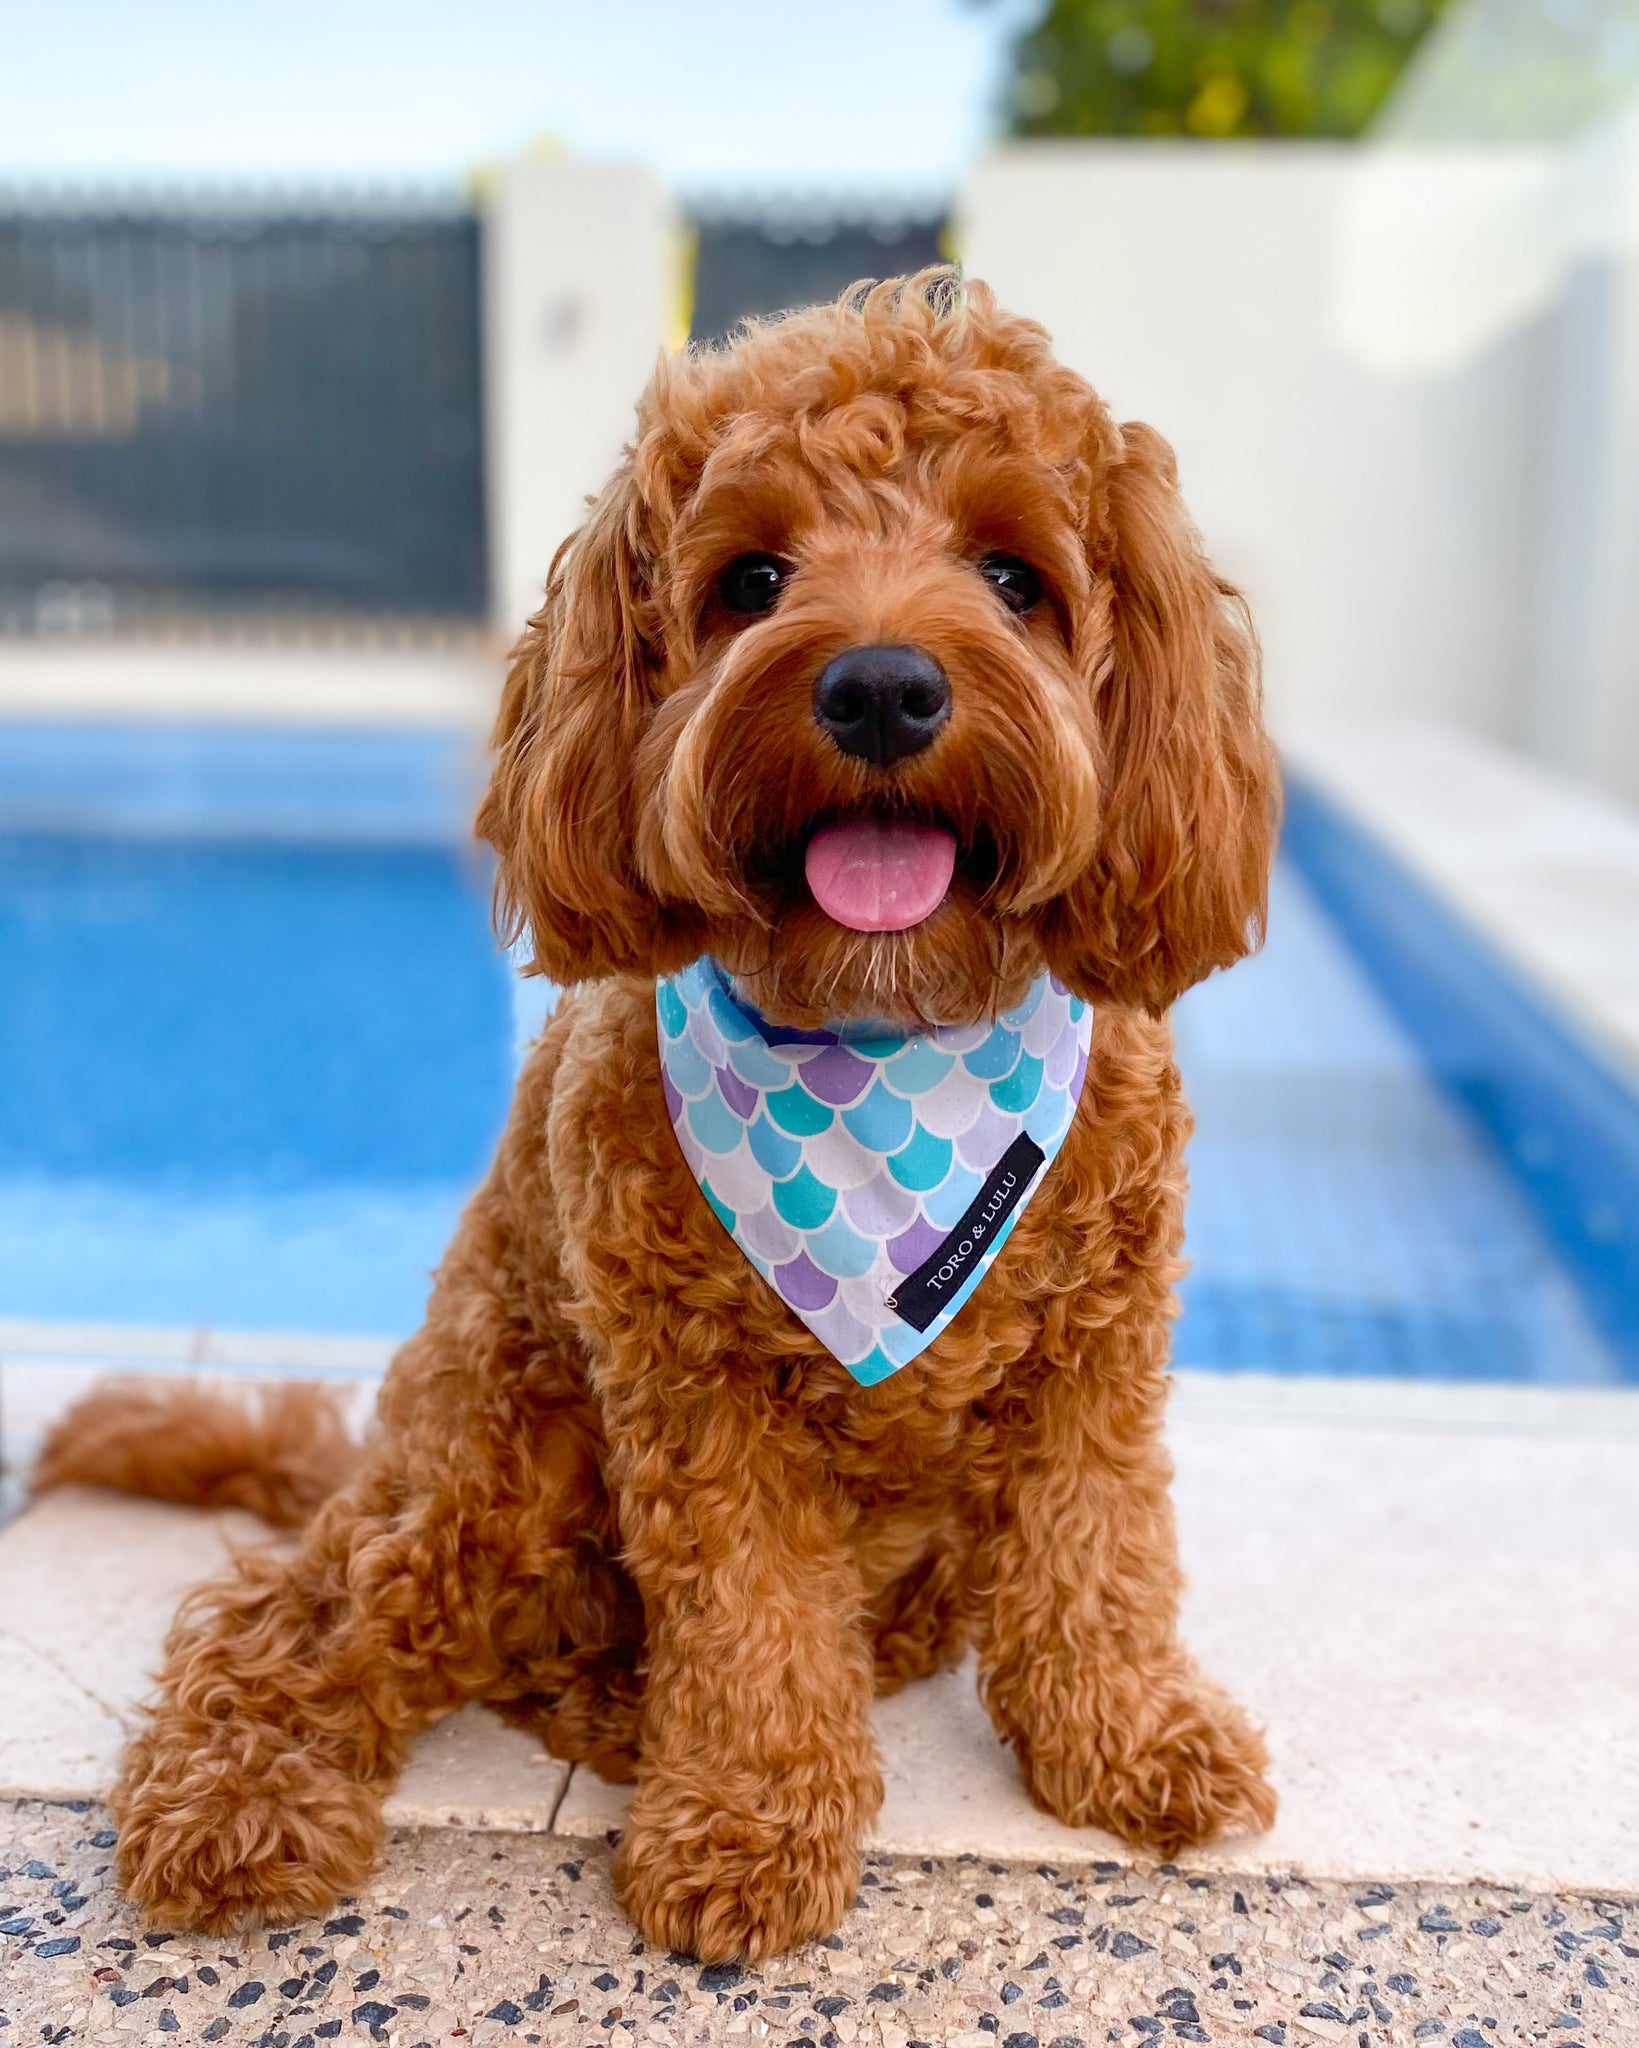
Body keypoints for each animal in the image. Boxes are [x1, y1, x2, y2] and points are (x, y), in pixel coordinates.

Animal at [35, 268, 1278, 1949]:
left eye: (1011, 574)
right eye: (751, 577)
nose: (879, 687)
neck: (883, 1041)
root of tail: (375, 1445)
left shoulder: (1092, 1356)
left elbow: (1096, 1556)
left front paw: (1125, 1737)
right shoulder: (695, 1394)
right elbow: (750, 1620)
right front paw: (749, 1818)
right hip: (495, 1461)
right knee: (288, 1605)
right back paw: (237, 1798)